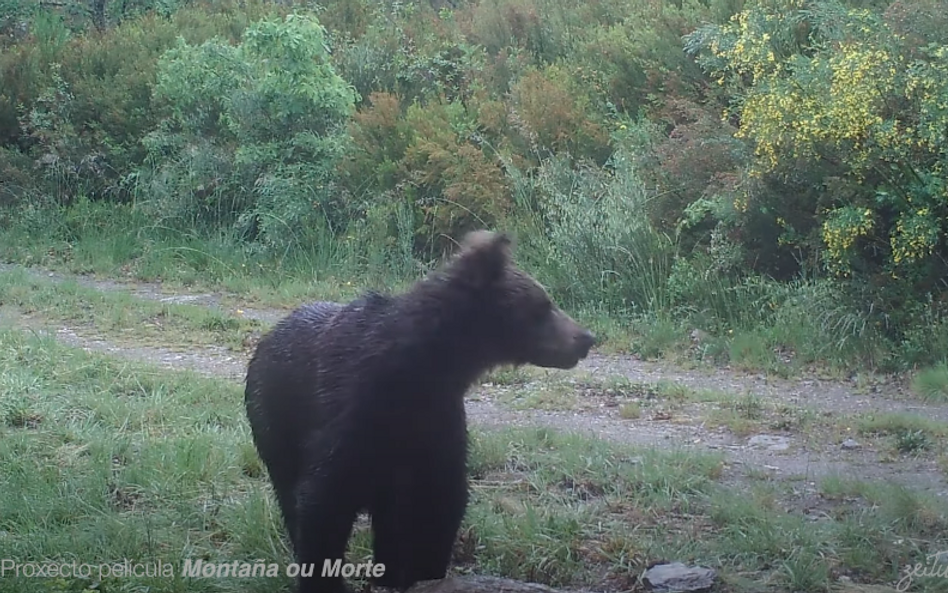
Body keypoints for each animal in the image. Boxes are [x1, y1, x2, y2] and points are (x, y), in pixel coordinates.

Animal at [246, 230, 600, 592]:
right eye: (543, 305)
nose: (586, 338)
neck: (420, 371)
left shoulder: (436, 422)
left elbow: (440, 503)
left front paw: (419, 571)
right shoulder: (350, 417)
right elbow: (323, 503)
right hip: (275, 428)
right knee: (288, 491)